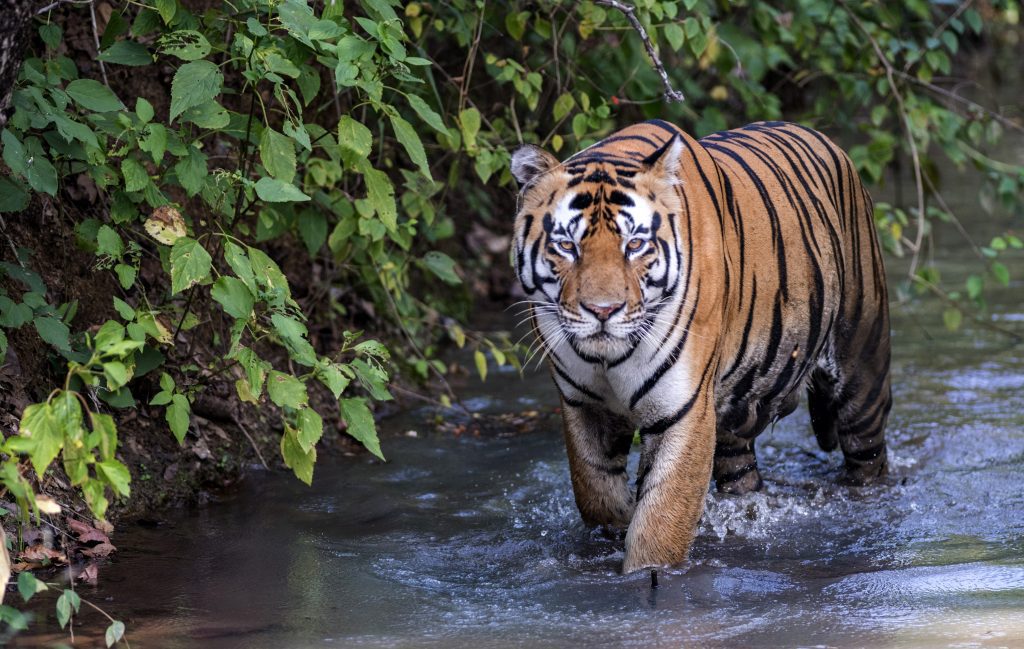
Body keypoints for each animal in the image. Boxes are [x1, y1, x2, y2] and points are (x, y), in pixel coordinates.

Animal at [509, 120, 888, 569]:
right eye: (567, 246)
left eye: (634, 244)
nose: (603, 311)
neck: (608, 358)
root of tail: (822, 137)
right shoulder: (583, 405)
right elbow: (596, 492)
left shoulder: (683, 409)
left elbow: (660, 522)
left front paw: (645, 571)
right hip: (737, 416)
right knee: (741, 473)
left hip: (862, 368)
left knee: (868, 459)